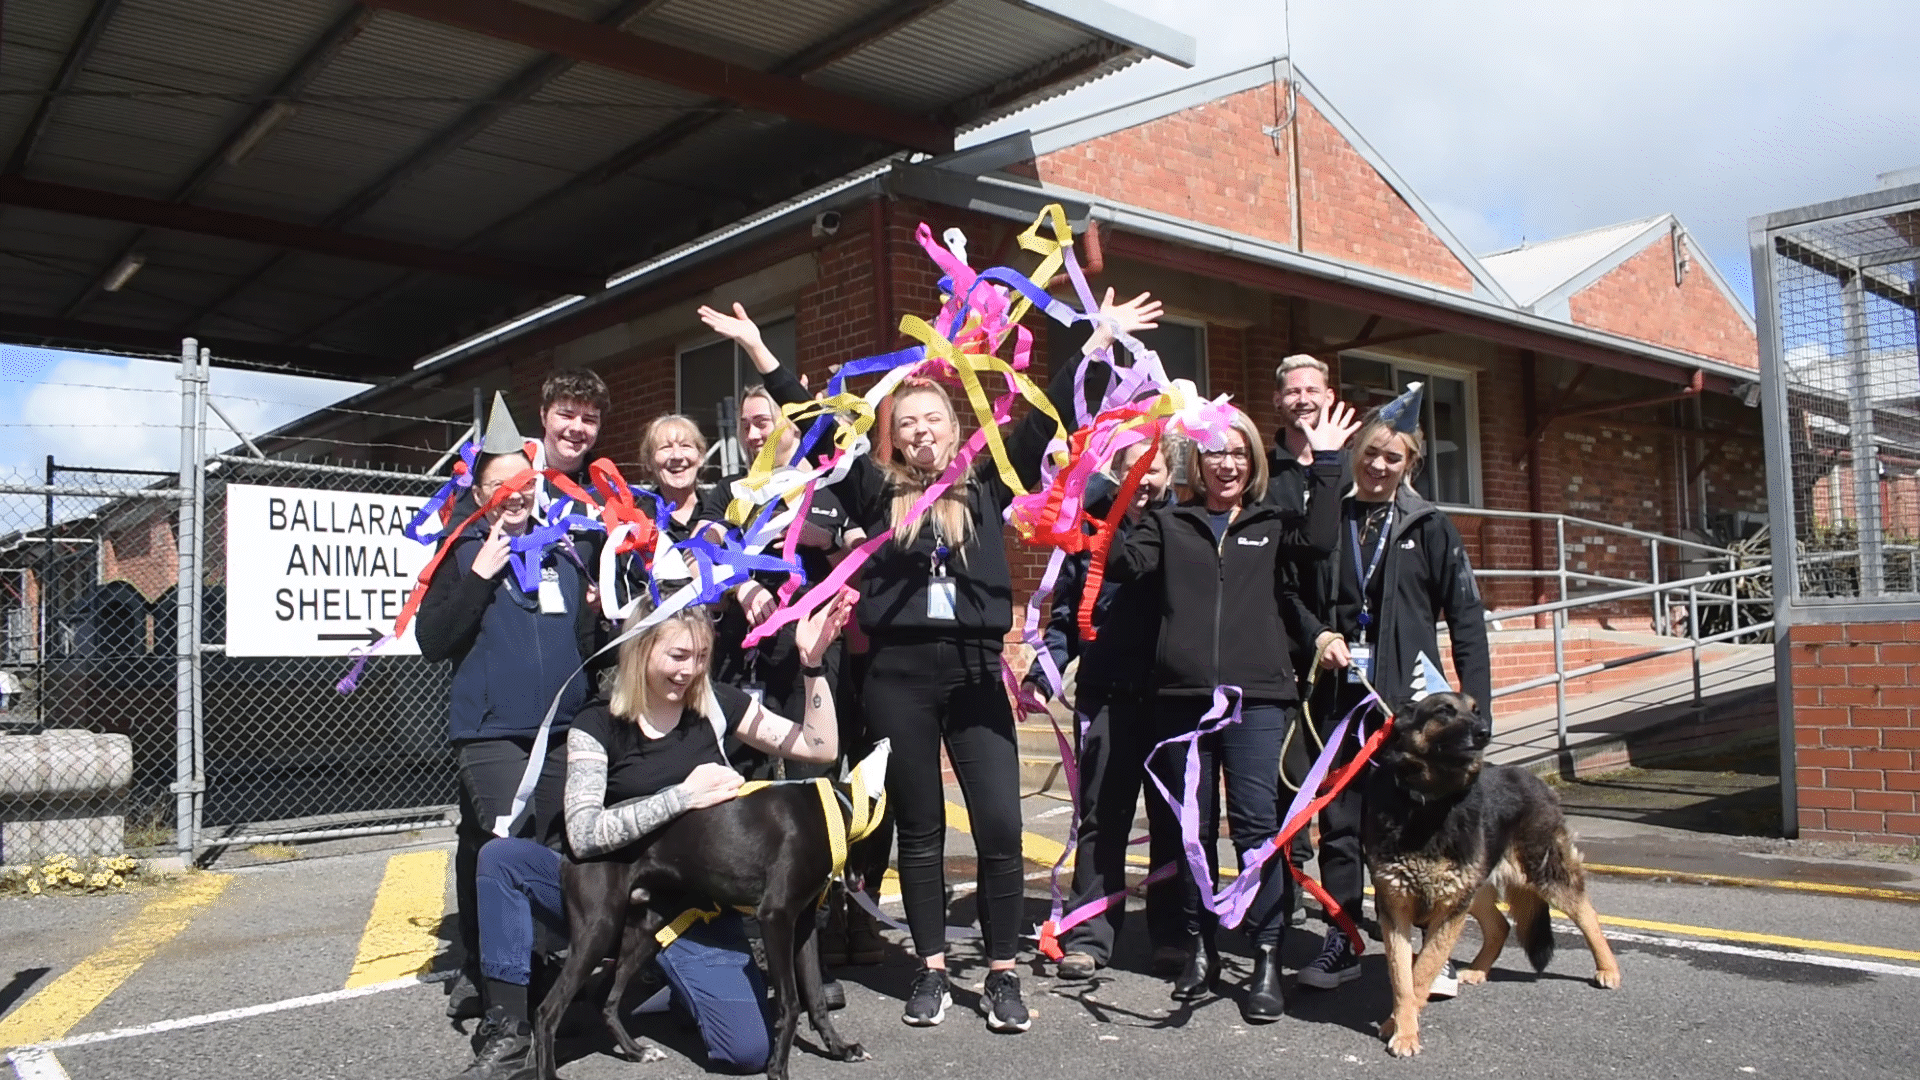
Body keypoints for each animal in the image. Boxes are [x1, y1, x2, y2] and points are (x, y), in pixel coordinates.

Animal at [526, 737, 883, 1076]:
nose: (858, 883)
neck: (831, 812)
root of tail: (574, 845)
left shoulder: (803, 925)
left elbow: (817, 999)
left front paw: (841, 1049)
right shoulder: (776, 918)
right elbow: (791, 1003)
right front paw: (778, 1069)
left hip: (645, 931)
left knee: (606, 998)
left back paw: (637, 1051)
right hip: (599, 928)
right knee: (546, 1012)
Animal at [1367, 687, 1620, 1053]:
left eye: (1475, 710)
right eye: (1444, 711)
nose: (1485, 732)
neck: (1428, 802)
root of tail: (1534, 779)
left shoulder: (1448, 909)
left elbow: (1422, 970)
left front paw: (1404, 1029)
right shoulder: (1395, 910)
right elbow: (1401, 976)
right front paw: (1400, 1023)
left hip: (1543, 873)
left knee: (1587, 914)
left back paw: (1608, 969)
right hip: (1476, 889)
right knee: (1500, 926)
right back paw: (1478, 970)